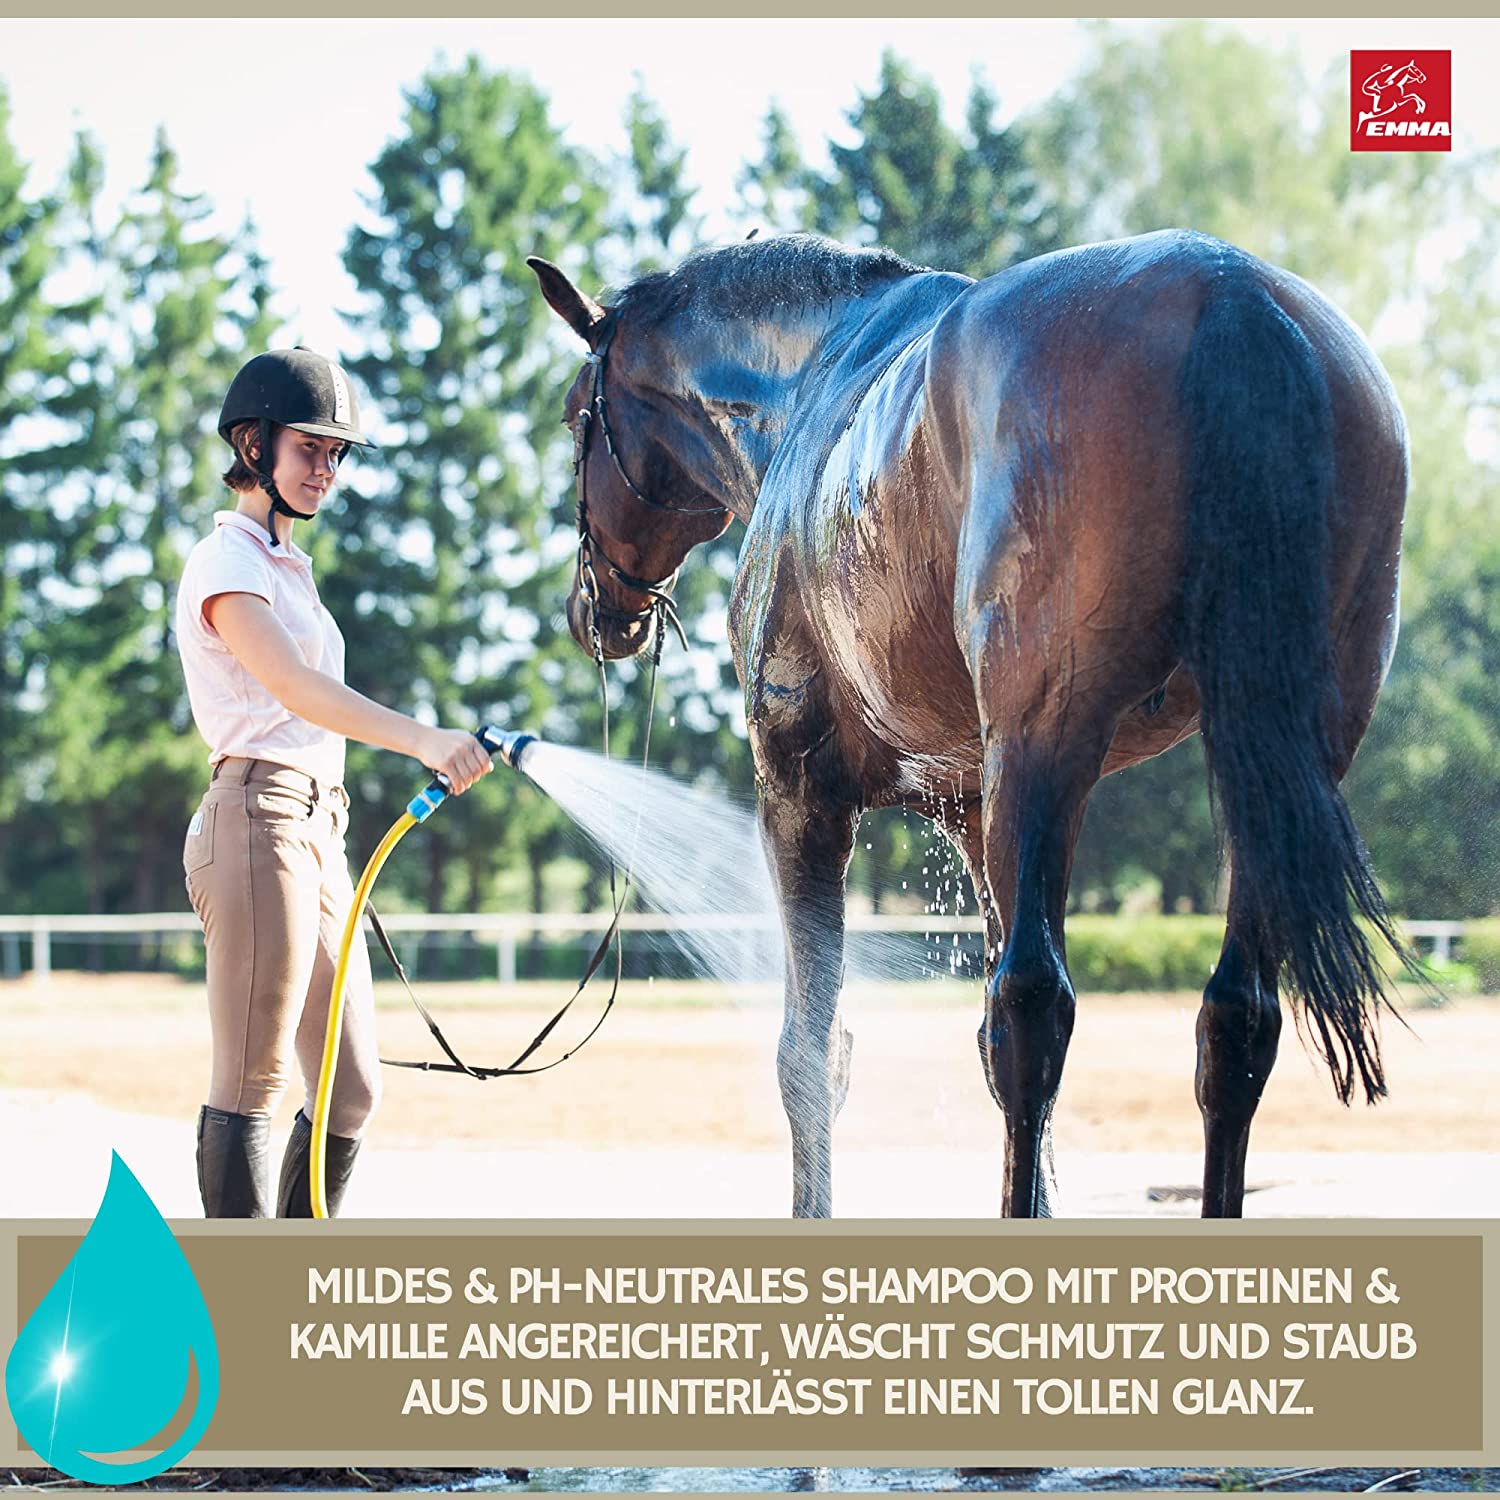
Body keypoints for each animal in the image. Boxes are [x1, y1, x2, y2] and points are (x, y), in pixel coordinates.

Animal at [529, 229, 1410, 1218]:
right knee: (1234, 1021)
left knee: (1034, 1007)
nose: (593, 612)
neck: (806, 389)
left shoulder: (799, 790)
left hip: (1048, 741)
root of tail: (1230, 287)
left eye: (574, 417)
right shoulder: (977, 810)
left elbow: (815, 1050)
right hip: (1272, 764)